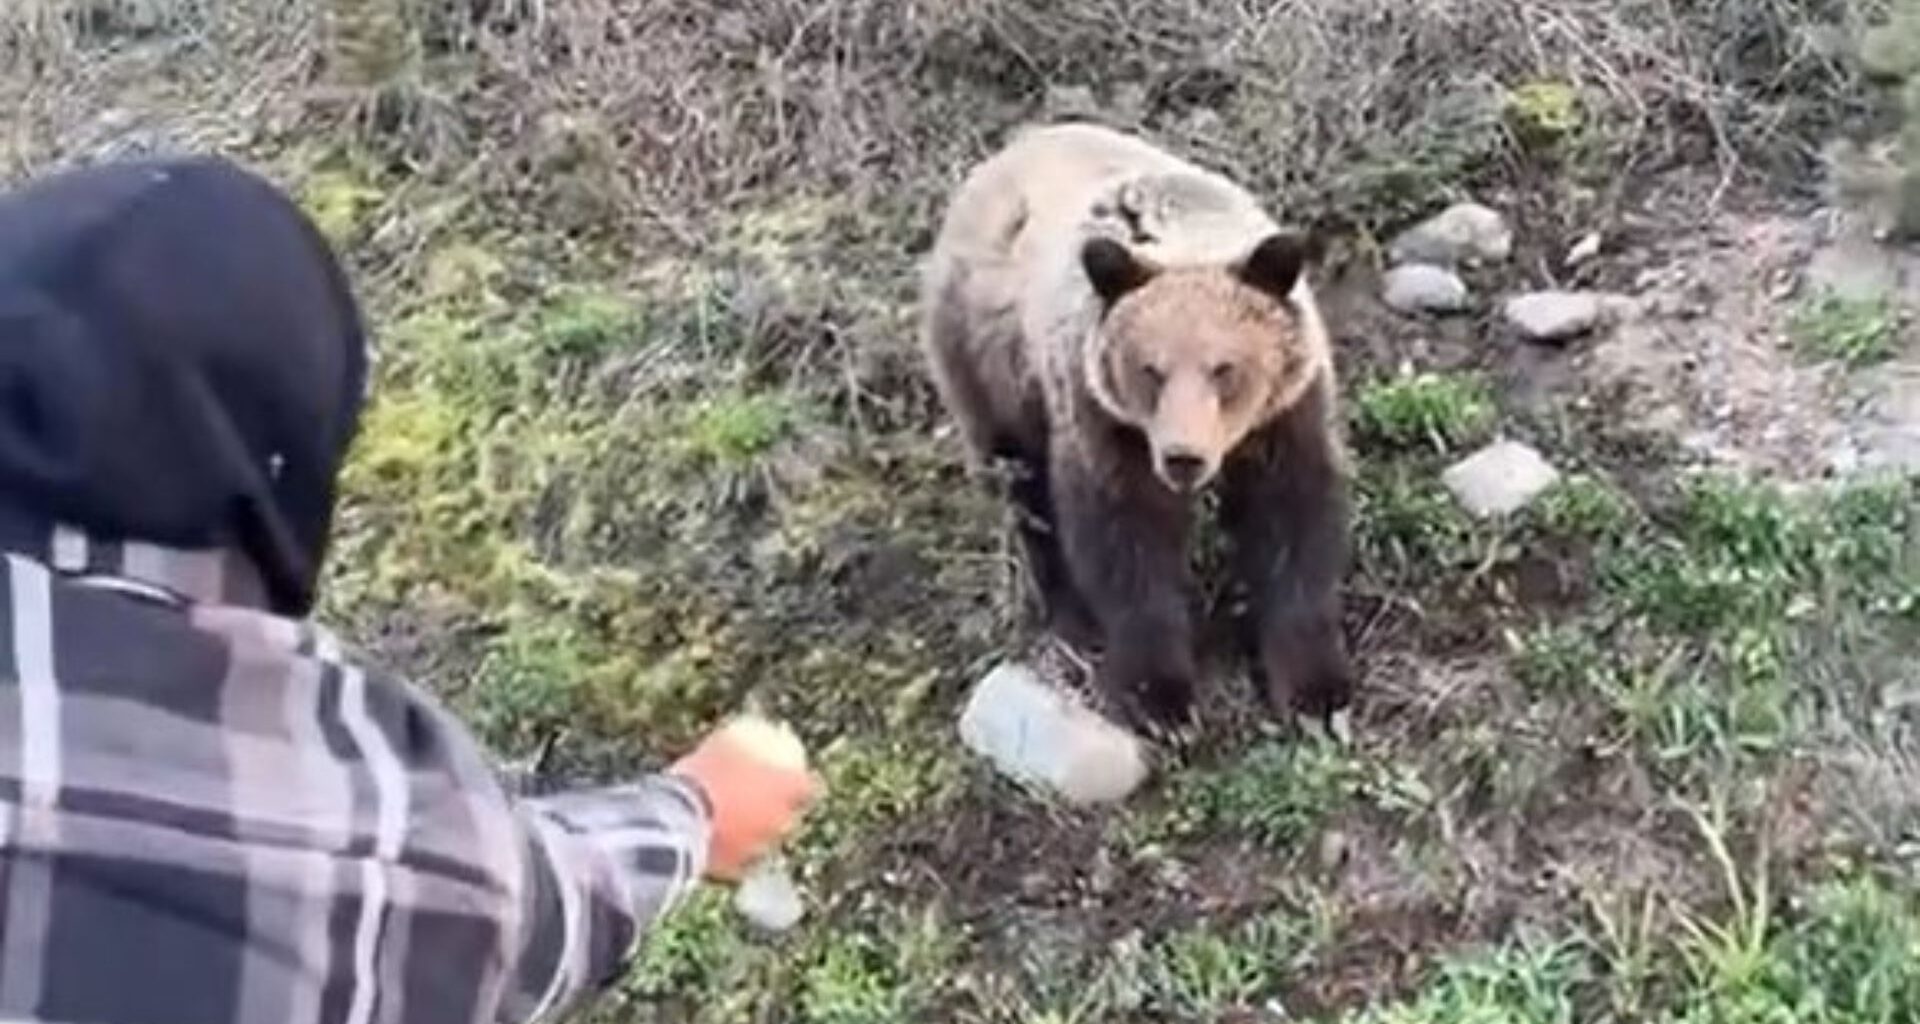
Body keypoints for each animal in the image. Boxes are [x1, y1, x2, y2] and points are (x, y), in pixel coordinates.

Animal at [919, 121, 1354, 732]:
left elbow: (1294, 525)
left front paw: (1316, 691)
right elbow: (1124, 541)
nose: (1182, 456)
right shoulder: (1104, 419)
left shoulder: (1286, 416)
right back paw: (1068, 613)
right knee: (1024, 487)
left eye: (1225, 368)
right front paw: (1160, 699)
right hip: (990, 361)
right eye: (1150, 369)